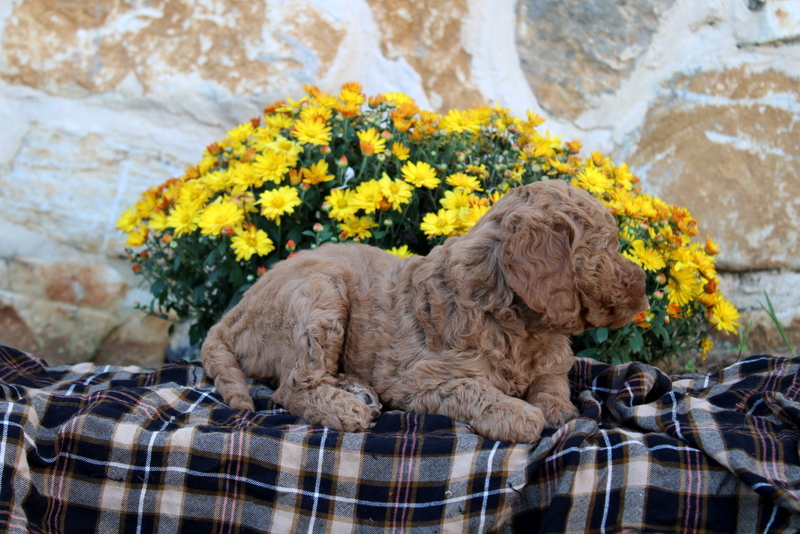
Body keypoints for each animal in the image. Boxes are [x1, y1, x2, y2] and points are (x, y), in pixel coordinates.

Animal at [202, 180, 648, 444]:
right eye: (608, 248)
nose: (644, 285)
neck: (518, 325)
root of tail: (231, 315)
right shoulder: (417, 380)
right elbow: (471, 388)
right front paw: (516, 413)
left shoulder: (551, 363)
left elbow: (553, 386)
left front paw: (560, 411)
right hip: (320, 296)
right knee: (290, 386)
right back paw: (346, 408)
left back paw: (354, 388)